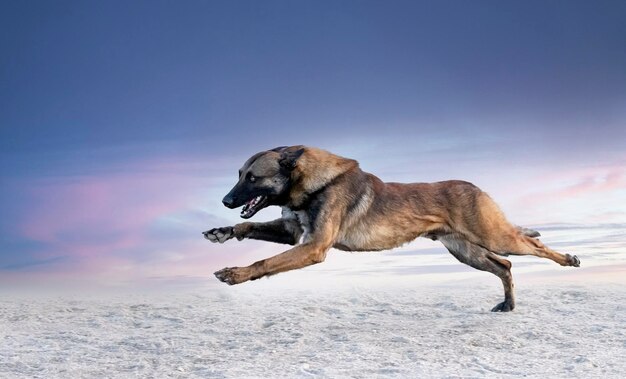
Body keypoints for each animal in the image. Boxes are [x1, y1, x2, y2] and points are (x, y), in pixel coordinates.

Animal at [202, 145, 576, 312]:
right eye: (239, 174)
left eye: (253, 178)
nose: (225, 200)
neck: (311, 183)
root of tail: (475, 187)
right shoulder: (295, 233)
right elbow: (249, 227)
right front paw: (222, 231)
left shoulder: (314, 246)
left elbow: (264, 263)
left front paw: (235, 273)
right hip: (467, 252)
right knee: (506, 266)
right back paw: (509, 305)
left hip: (495, 237)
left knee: (532, 247)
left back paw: (569, 259)